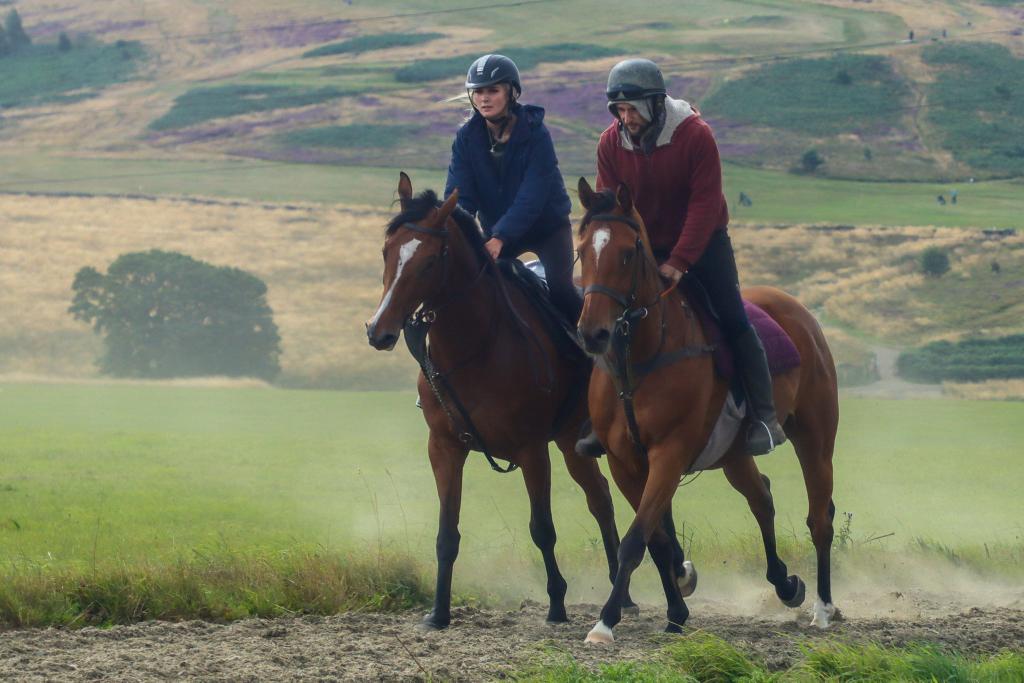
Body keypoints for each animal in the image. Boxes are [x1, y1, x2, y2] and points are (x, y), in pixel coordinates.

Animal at [364, 172, 626, 630]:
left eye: (429, 261)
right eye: (386, 252)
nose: (379, 331)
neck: (475, 347)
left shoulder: (531, 450)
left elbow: (542, 528)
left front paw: (556, 605)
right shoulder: (444, 449)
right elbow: (446, 534)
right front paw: (439, 612)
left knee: (603, 502)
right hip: (570, 445)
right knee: (600, 498)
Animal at [577, 179, 839, 643]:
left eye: (627, 252)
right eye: (582, 251)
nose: (593, 333)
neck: (641, 358)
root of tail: (800, 313)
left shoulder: (669, 454)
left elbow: (635, 539)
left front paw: (605, 622)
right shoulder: (624, 462)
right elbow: (656, 539)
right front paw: (676, 610)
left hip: (815, 437)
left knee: (819, 518)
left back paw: (823, 609)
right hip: (734, 454)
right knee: (762, 497)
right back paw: (786, 584)